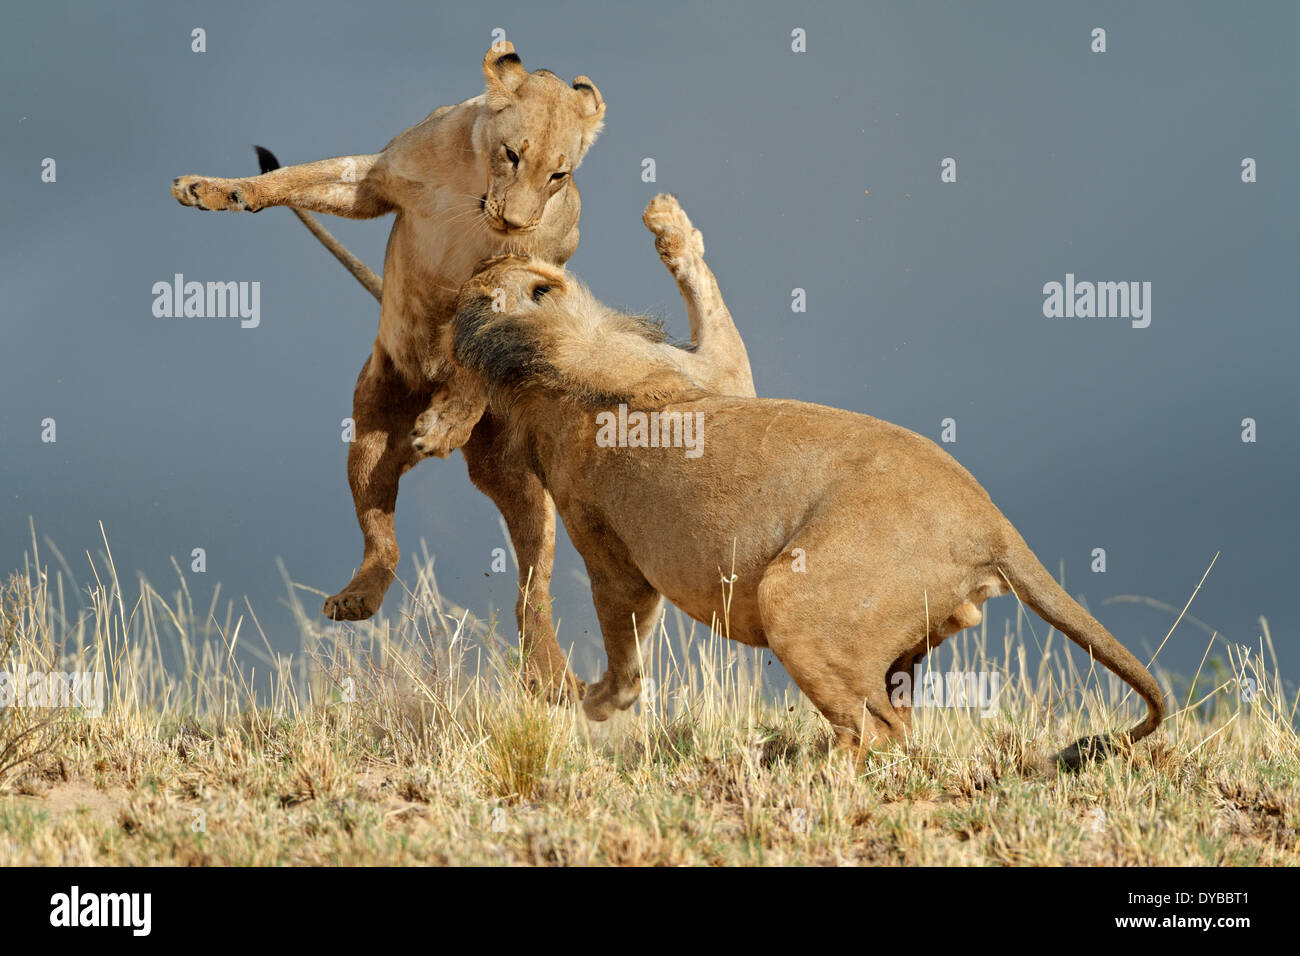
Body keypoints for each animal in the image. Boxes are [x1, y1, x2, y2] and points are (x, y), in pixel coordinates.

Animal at [170, 44, 754, 697]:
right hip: (372, 428)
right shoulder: (373, 180)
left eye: (559, 175)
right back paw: (358, 595)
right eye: (512, 154)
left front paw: (449, 418)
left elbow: (481, 342)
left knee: (533, 587)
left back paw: (549, 667)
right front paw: (210, 189)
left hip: (524, 488)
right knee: (382, 535)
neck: (476, 184)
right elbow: (293, 178)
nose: (516, 221)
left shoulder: (533, 265)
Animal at [444, 201, 1170, 770]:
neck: (543, 361)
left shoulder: (696, 405)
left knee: (878, 732)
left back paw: (800, 770)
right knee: (890, 729)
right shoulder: (700, 395)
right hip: (862, 630)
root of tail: (992, 524)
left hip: (792, 599)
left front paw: (668, 221)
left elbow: (624, 647)